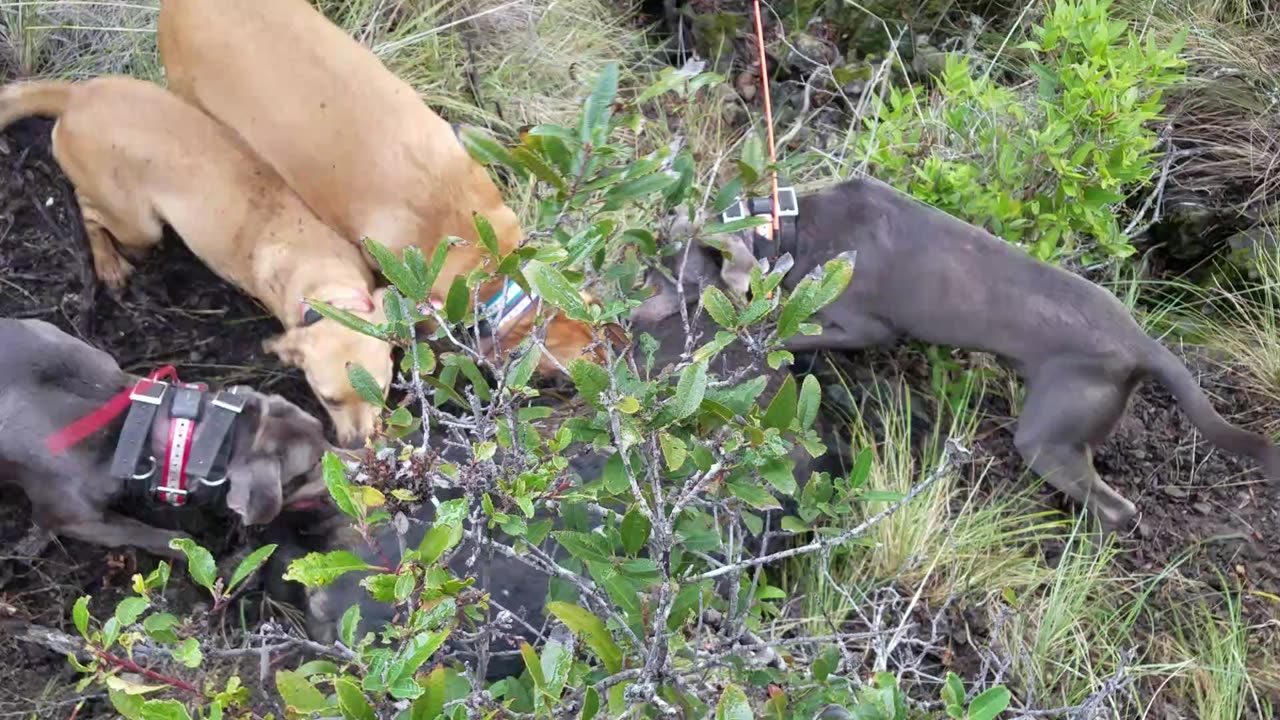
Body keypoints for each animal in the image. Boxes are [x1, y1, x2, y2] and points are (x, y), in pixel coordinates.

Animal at [0, 79, 389, 448]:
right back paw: (108, 262)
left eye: (382, 392)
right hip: (138, 226)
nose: (359, 444)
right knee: (88, 209)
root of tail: (77, 94)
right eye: (328, 400)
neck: (323, 278)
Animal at [665, 174, 1280, 527]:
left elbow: (788, 333)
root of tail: (1142, 342)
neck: (792, 227)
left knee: (1118, 509)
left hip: (1047, 432)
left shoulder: (866, 326)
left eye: (686, 281)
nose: (660, 315)